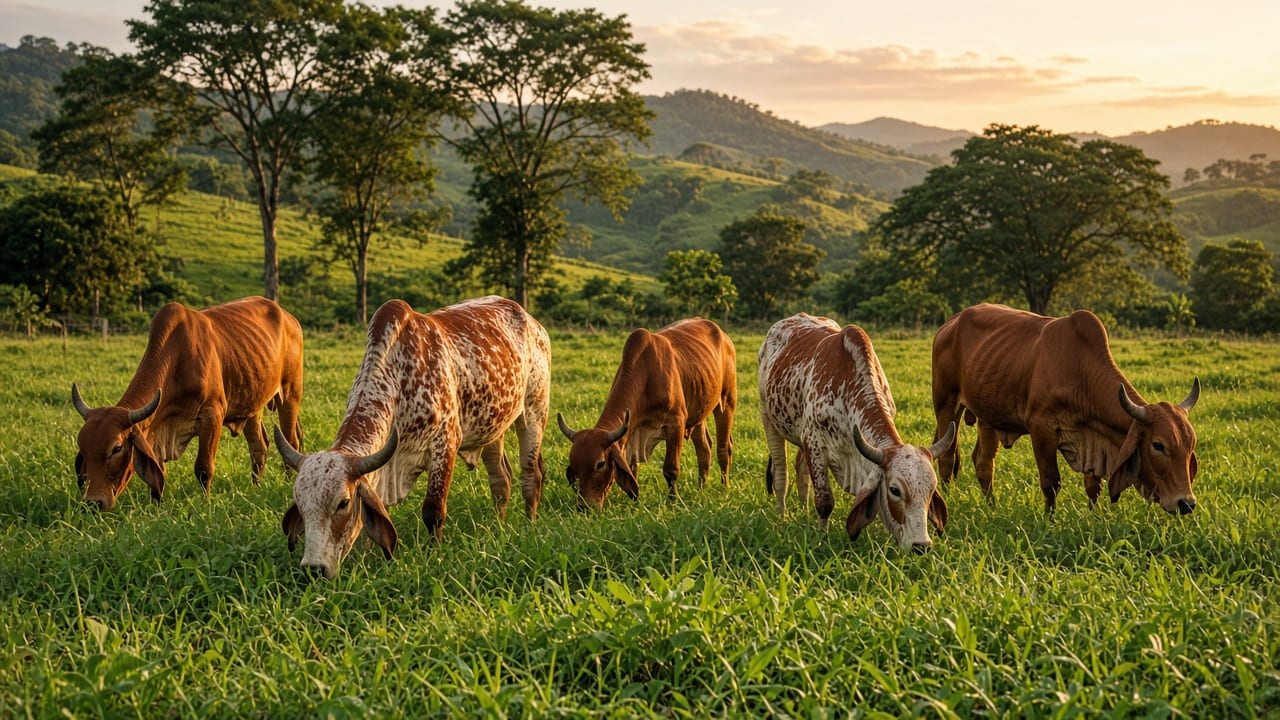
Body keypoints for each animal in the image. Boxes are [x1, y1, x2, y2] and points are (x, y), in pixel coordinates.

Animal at [71, 296, 304, 511]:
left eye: (117, 448)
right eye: (83, 447)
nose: (92, 503)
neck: (176, 359)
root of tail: (289, 317)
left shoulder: (212, 415)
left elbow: (204, 468)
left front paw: (205, 504)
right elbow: (159, 474)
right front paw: (156, 506)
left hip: (290, 393)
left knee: (290, 441)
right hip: (252, 402)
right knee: (259, 448)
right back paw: (256, 487)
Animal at [273, 296, 550, 578]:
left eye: (343, 503)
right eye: (300, 503)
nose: (313, 569)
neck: (398, 381)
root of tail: (530, 320)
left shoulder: (445, 444)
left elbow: (433, 511)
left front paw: (435, 553)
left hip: (534, 411)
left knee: (531, 475)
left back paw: (529, 524)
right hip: (493, 427)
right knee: (501, 480)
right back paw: (499, 526)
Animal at [557, 317, 737, 511]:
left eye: (600, 464)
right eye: (574, 466)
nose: (585, 507)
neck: (646, 375)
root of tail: (722, 334)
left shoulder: (676, 423)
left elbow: (671, 469)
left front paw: (672, 502)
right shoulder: (632, 432)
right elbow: (633, 470)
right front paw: (636, 503)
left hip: (727, 400)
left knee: (723, 448)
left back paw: (724, 487)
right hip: (699, 408)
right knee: (704, 448)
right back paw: (700, 489)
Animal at [758, 313, 955, 553]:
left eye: (931, 488)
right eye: (894, 490)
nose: (921, 545)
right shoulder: (814, 442)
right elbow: (825, 501)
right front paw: (821, 536)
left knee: (801, 471)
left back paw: (804, 511)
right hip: (768, 418)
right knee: (780, 472)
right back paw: (782, 516)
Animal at [931, 303, 1200, 515]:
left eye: (1191, 446)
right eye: (1158, 445)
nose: (1186, 503)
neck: (1082, 373)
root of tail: (950, 322)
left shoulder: (1092, 436)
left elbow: (1093, 486)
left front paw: (1094, 517)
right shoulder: (1042, 428)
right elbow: (1051, 482)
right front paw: (1050, 521)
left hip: (988, 416)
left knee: (983, 464)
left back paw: (992, 508)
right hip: (946, 405)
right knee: (947, 458)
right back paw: (949, 500)